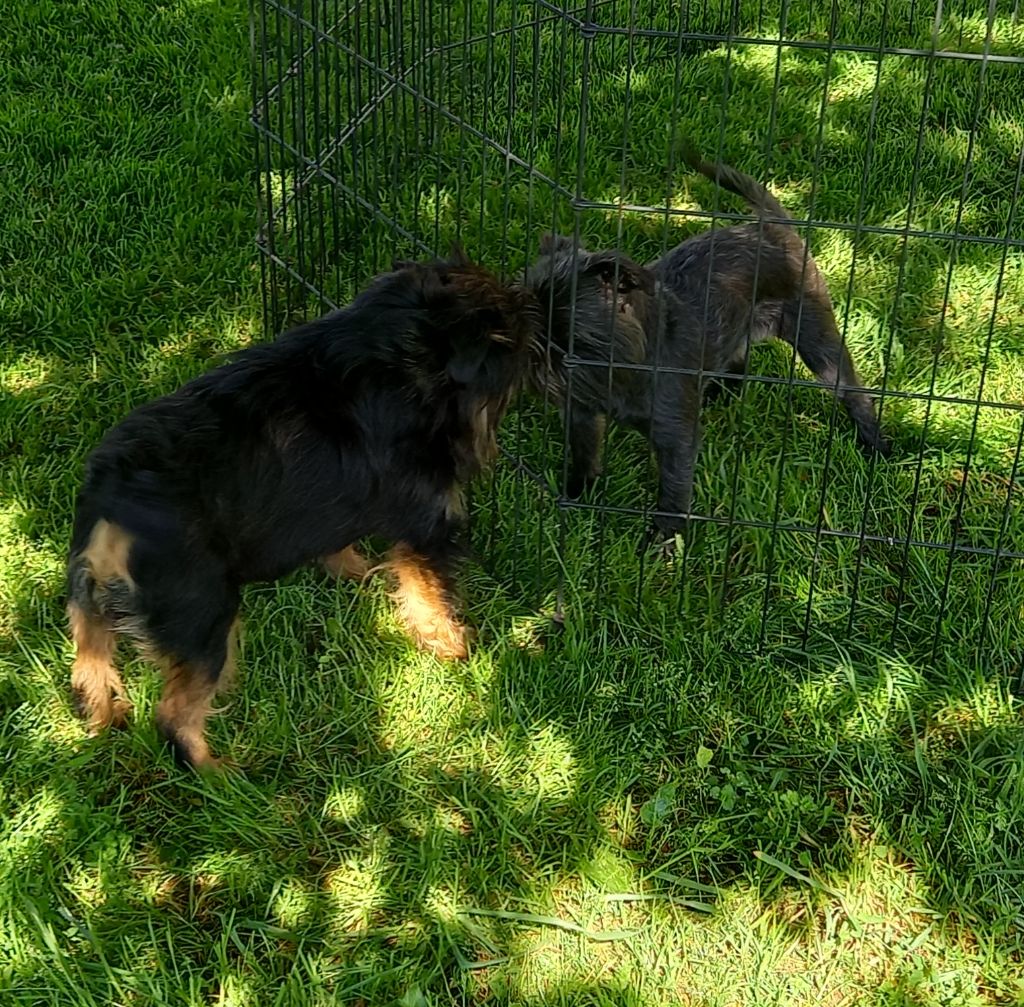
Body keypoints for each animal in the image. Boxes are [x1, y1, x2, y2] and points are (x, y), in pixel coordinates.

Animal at [68, 252, 536, 770]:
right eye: (508, 340)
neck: (396, 353)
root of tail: (111, 501)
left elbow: (341, 548)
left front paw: (363, 575)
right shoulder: (427, 529)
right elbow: (430, 597)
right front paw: (453, 647)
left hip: (90, 603)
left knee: (89, 666)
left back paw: (106, 719)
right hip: (204, 622)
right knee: (175, 716)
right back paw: (222, 775)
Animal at [528, 146, 888, 549]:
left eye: (564, 333)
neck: (621, 371)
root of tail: (771, 228)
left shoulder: (675, 439)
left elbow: (673, 489)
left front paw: (663, 541)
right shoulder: (582, 414)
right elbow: (584, 454)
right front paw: (577, 493)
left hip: (816, 338)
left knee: (850, 389)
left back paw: (874, 443)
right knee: (738, 360)